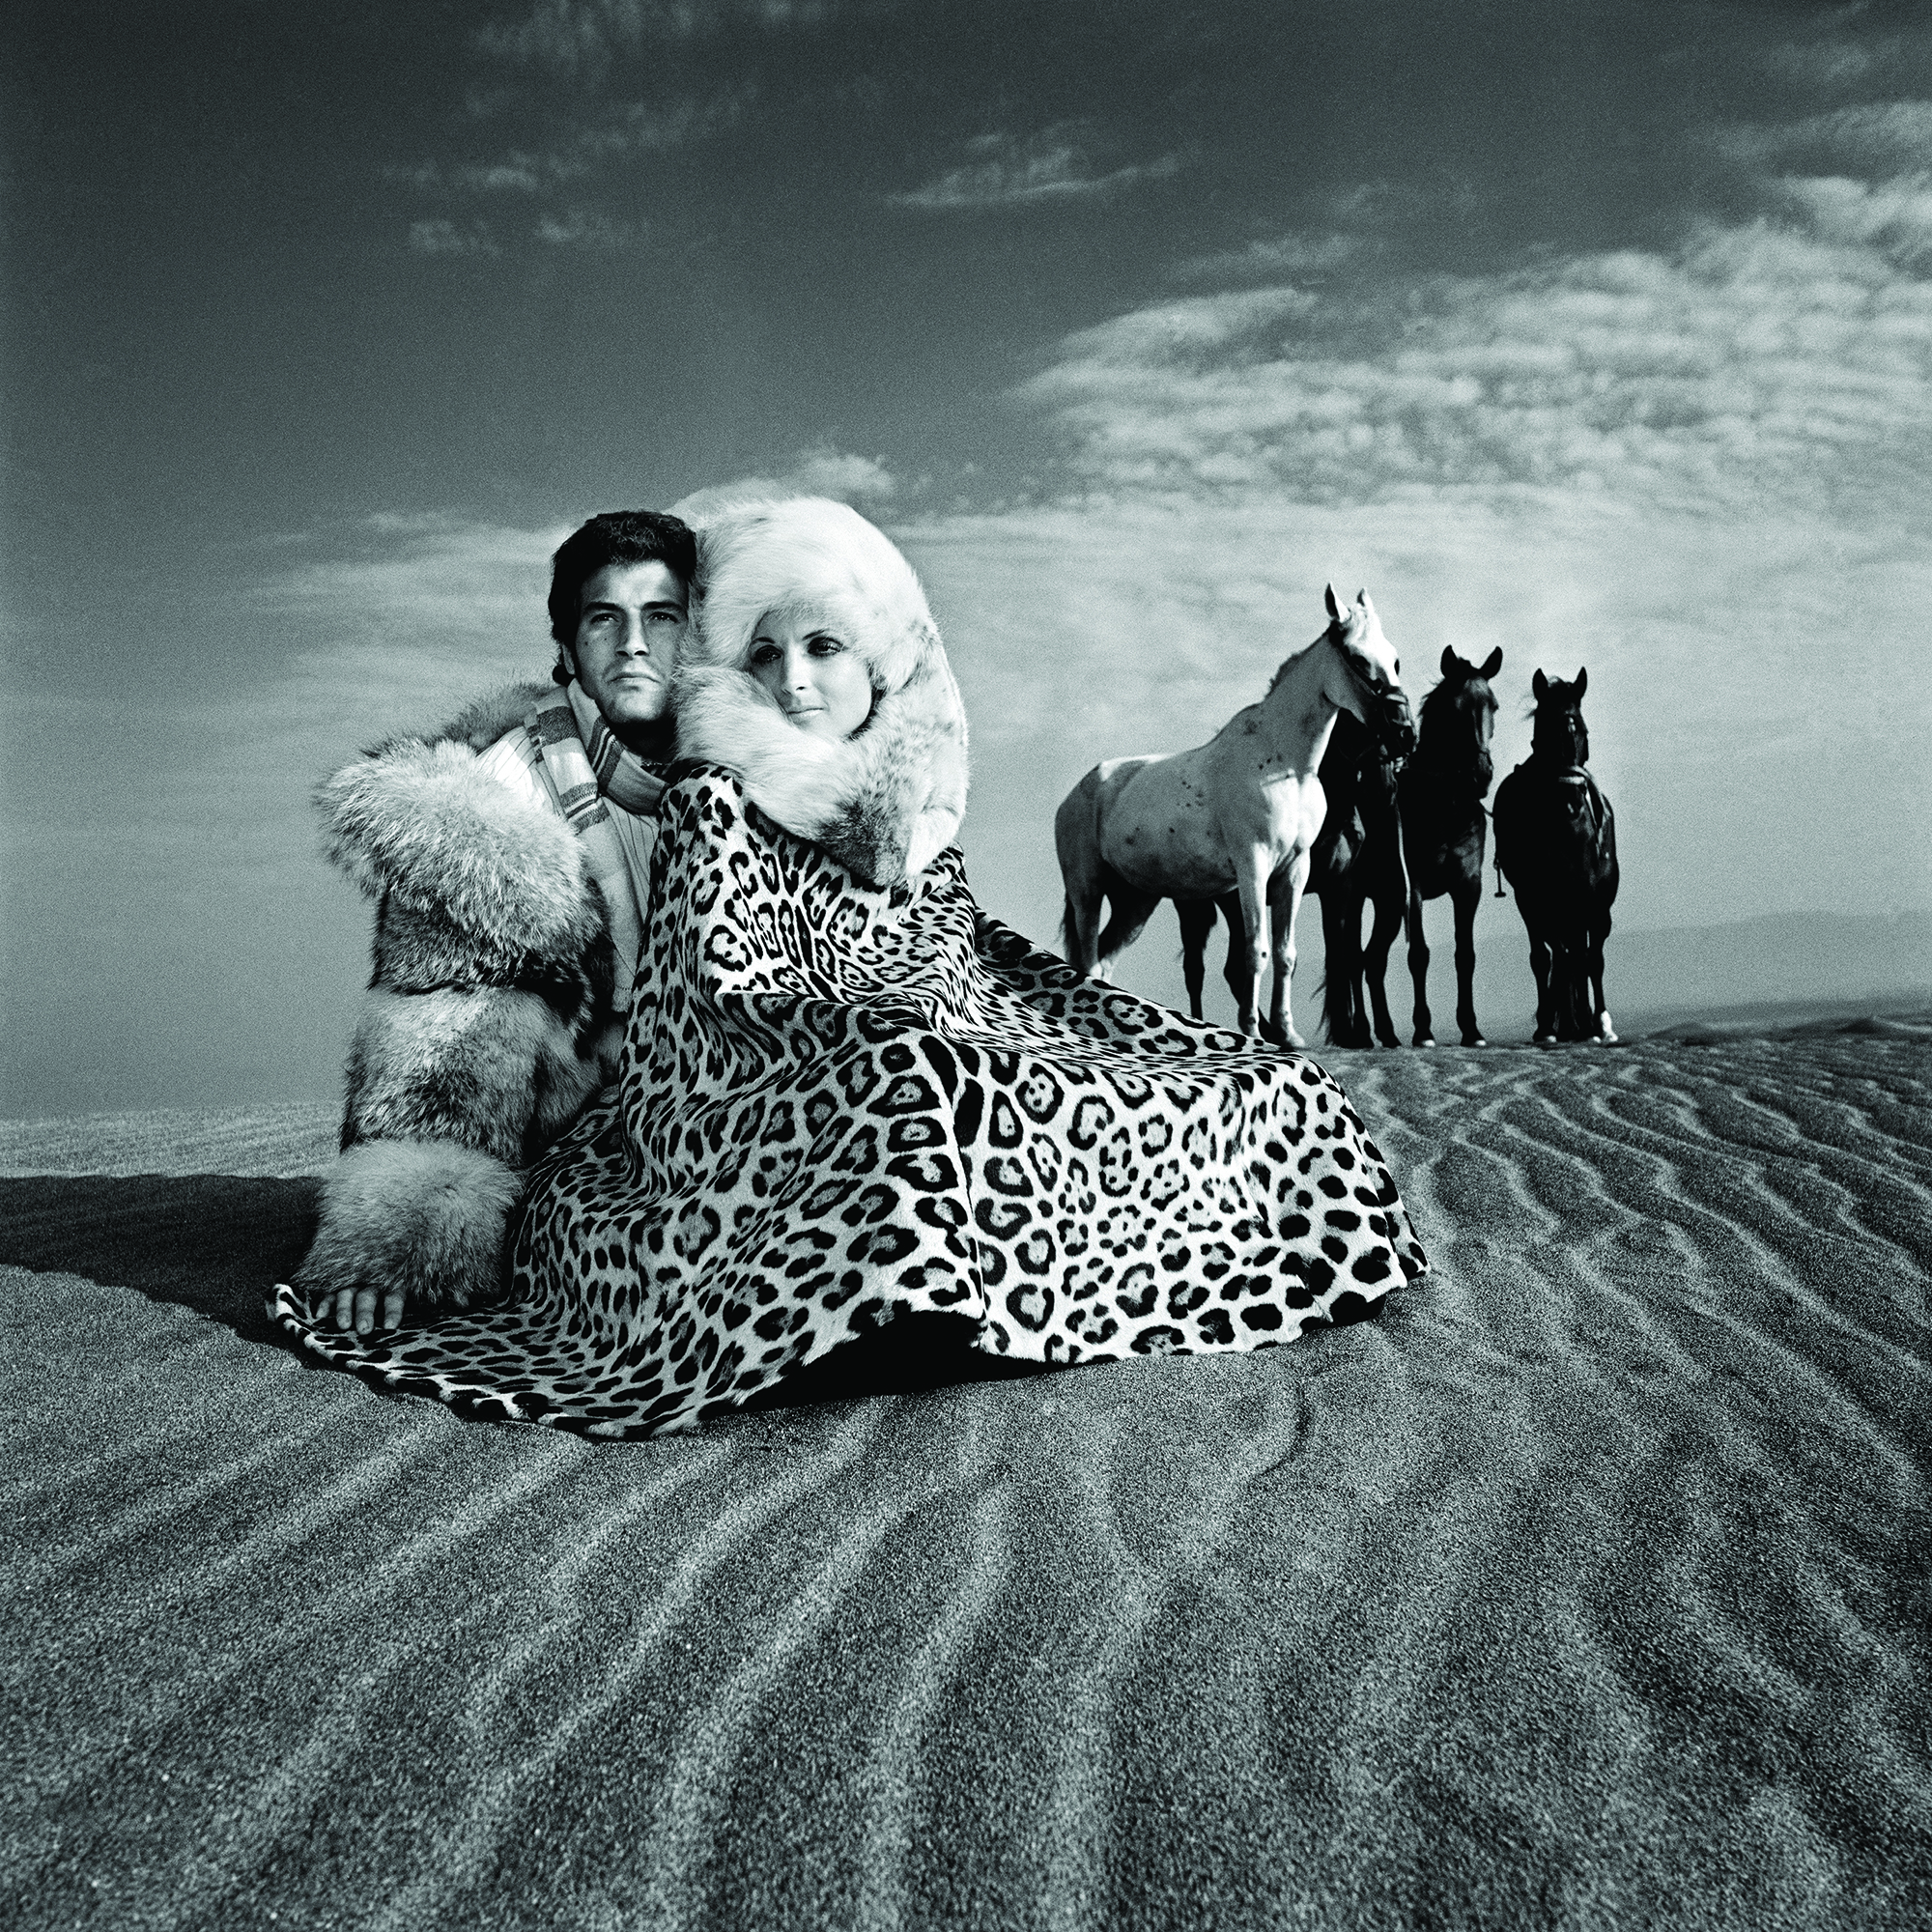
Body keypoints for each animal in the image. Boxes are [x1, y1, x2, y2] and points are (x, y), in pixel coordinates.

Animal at [1175, 707, 1406, 1043]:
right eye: (1352, 718)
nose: (1384, 786)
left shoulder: (1340, 887)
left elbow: (1342, 956)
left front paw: (1350, 1032)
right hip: (1205, 905)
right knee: (1202, 969)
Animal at [1399, 645, 1499, 1043]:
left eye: (1493, 706)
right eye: (1454, 708)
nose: (1480, 776)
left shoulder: (1468, 886)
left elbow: (1465, 955)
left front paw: (1471, 1028)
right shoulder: (1413, 887)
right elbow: (1419, 955)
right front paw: (1422, 1029)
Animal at [1484, 672, 1623, 1051]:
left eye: (1581, 731)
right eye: (1544, 731)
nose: (1571, 803)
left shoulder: (1593, 901)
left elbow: (1590, 959)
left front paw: (1599, 1024)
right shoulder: (1536, 899)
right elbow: (1548, 957)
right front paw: (1551, 1024)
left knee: (1579, 957)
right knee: (1557, 956)